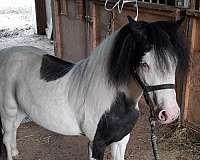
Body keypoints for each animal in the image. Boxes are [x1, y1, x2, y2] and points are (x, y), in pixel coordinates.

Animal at [0, 16, 188, 159]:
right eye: (144, 63)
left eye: (174, 61)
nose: (170, 113)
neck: (113, 98)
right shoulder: (96, 143)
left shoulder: (121, 141)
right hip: (8, 111)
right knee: (6, 138)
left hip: (20, 110)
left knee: (14, 130)